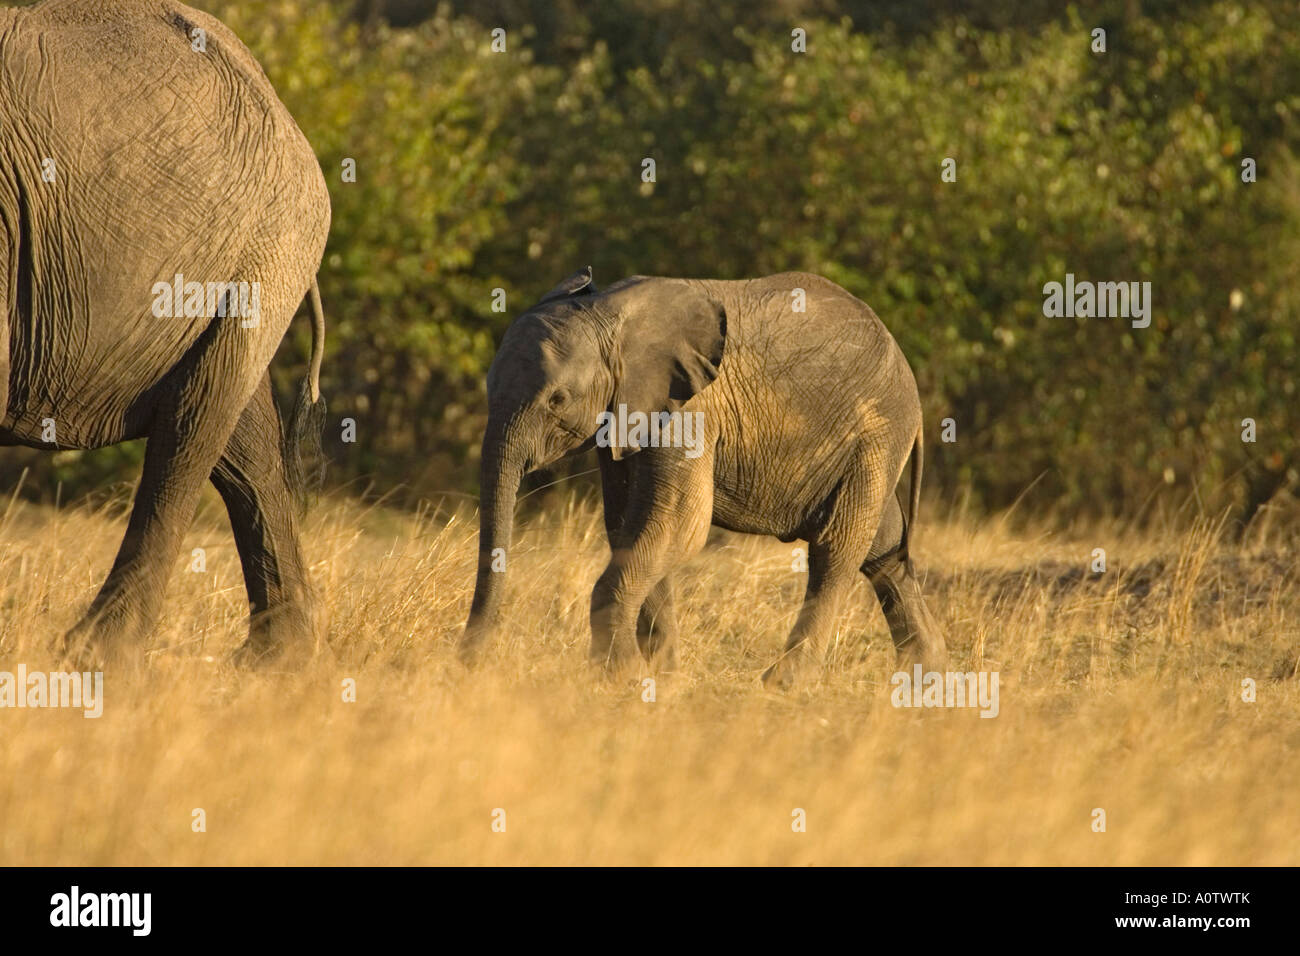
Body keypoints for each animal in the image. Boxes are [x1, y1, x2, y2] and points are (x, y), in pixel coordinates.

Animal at [463, 267, 947, 688]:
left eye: (558, 399)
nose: (469, 661)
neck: (612, 314)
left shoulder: (691, 409)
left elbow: (680, 525)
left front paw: (624, 678)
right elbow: (629, 526)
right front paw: (661, 679)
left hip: (878, 430)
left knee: (838, 546)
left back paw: (783, 684)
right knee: (883, 549)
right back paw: (928, 678)